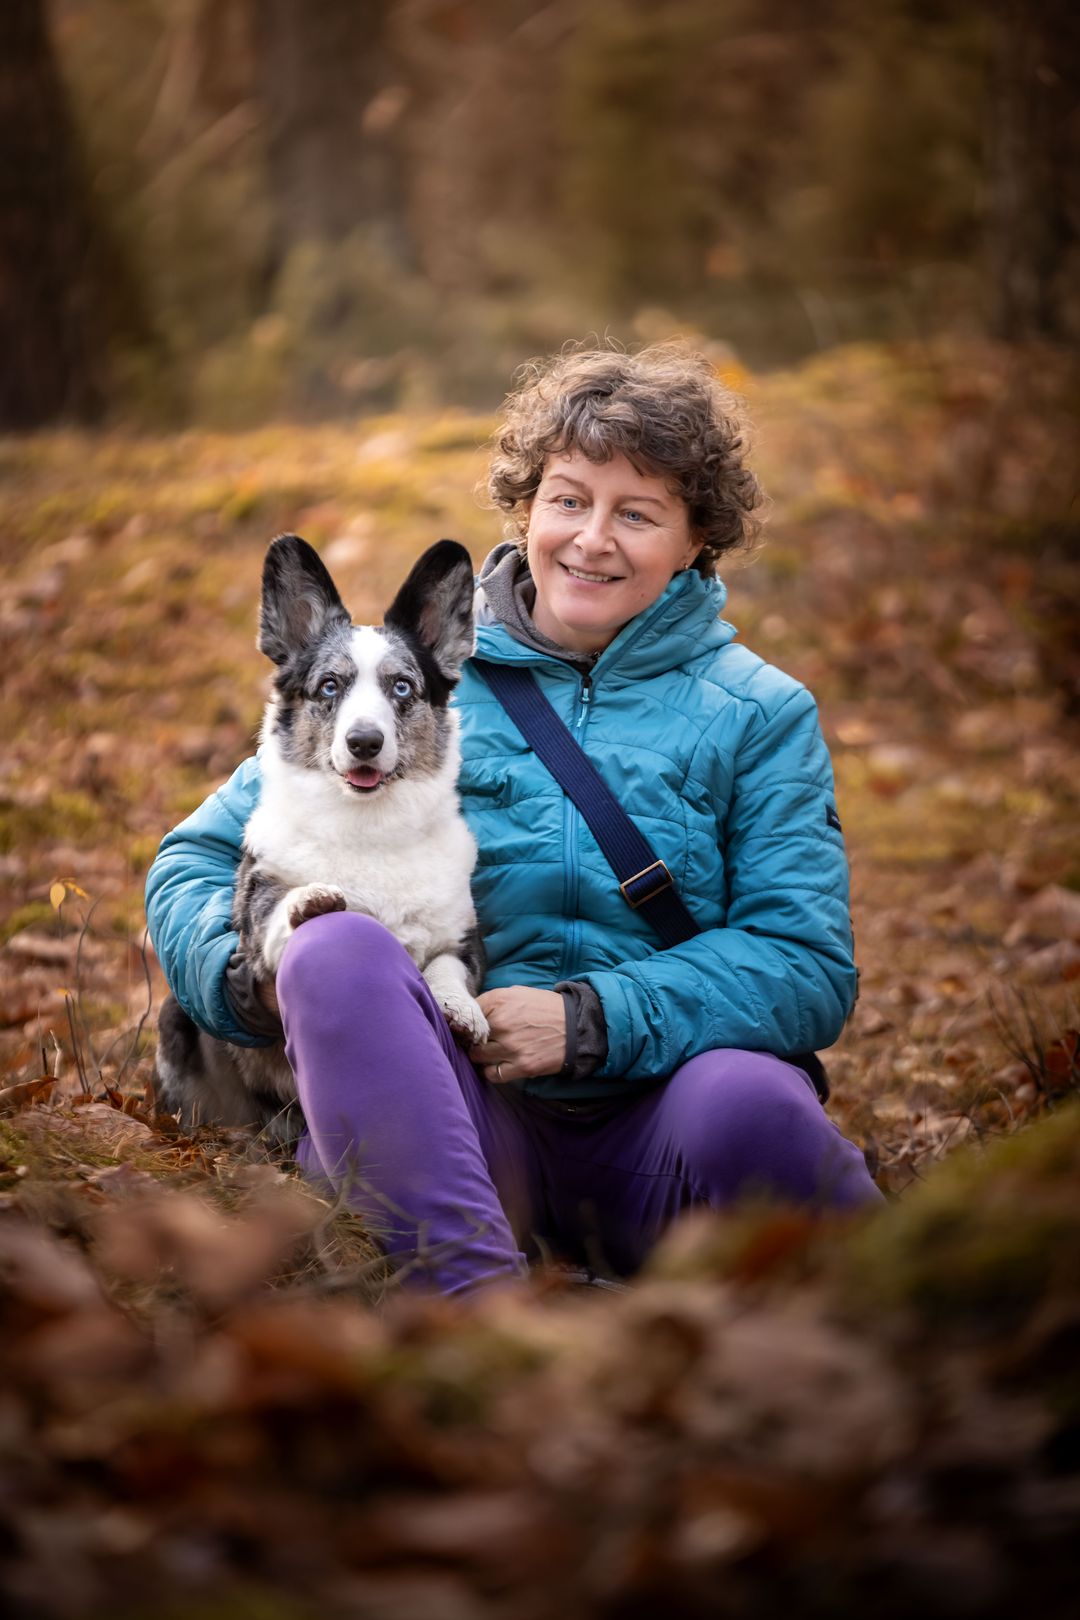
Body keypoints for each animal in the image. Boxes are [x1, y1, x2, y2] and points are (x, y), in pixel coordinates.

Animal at [152, 534, 488, 1140]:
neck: (368, 826)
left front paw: (462, 1010)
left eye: (402, 687)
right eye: (329, 686)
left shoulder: (463, 940)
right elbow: (277, 910)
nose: (364, 742)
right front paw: (309, 901)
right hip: (175, 1021)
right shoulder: (258, 905)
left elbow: (447, 967)